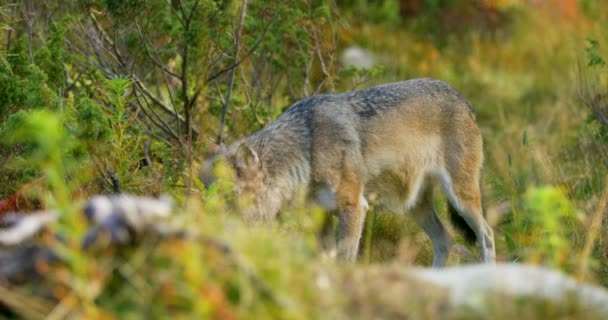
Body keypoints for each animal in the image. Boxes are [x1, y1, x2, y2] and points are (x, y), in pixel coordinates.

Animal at [202, 79, 496, 266]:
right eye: (208, 199)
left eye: (228, 199)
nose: (209, 229)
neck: (307, 151)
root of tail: (463, 99)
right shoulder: (320, 216)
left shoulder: (354, 207)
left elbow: (344, 261)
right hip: (414, 207)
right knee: (445, 240)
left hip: (461, 198)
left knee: (487, 235)